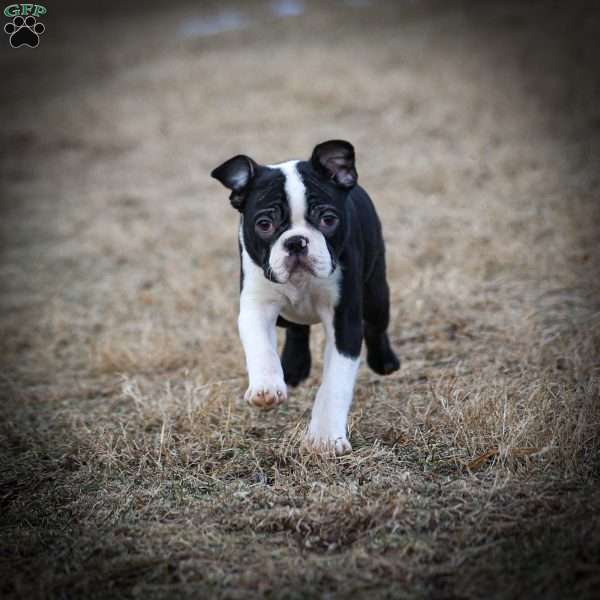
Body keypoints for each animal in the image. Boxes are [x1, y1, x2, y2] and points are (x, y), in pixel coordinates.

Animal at [211, 141, 398, 454]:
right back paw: (293, 367)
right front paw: (266, 386)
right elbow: (260, 347)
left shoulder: (344, 320)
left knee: (376, 325)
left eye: (328, 219)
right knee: (296, 328)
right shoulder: (256, 304)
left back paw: (384, 362)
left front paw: (325, 437)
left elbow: (335, 383)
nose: (296, 242)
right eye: (264, 224)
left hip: (376, 294)